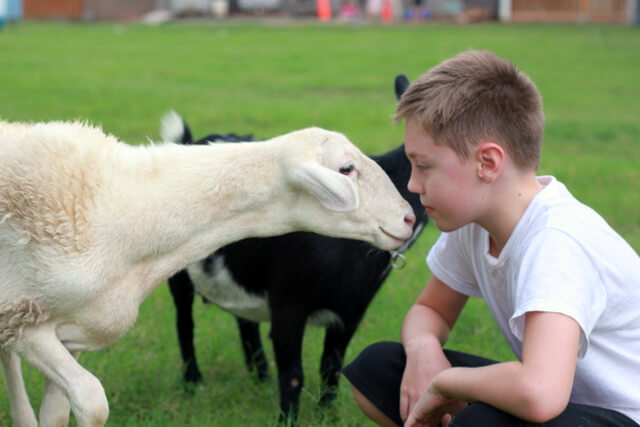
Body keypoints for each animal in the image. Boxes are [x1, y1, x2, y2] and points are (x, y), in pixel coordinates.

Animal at [0, 118, 416, 427]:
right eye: (346, 169)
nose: (409, 218)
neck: (126, 210)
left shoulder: (76, 331)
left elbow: (59, 414)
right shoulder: (26, 323)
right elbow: (92, 402)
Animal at [165, 74, 428, 424]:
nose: (407, 219)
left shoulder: (350, 312)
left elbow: (331, 368)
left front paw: (328, 415)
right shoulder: (289, 304)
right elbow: (293, 374)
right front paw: (287, 420)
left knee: (244, 320)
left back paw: (260, 376)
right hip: (178, 271)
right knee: (184, 322)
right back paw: (193, 381)